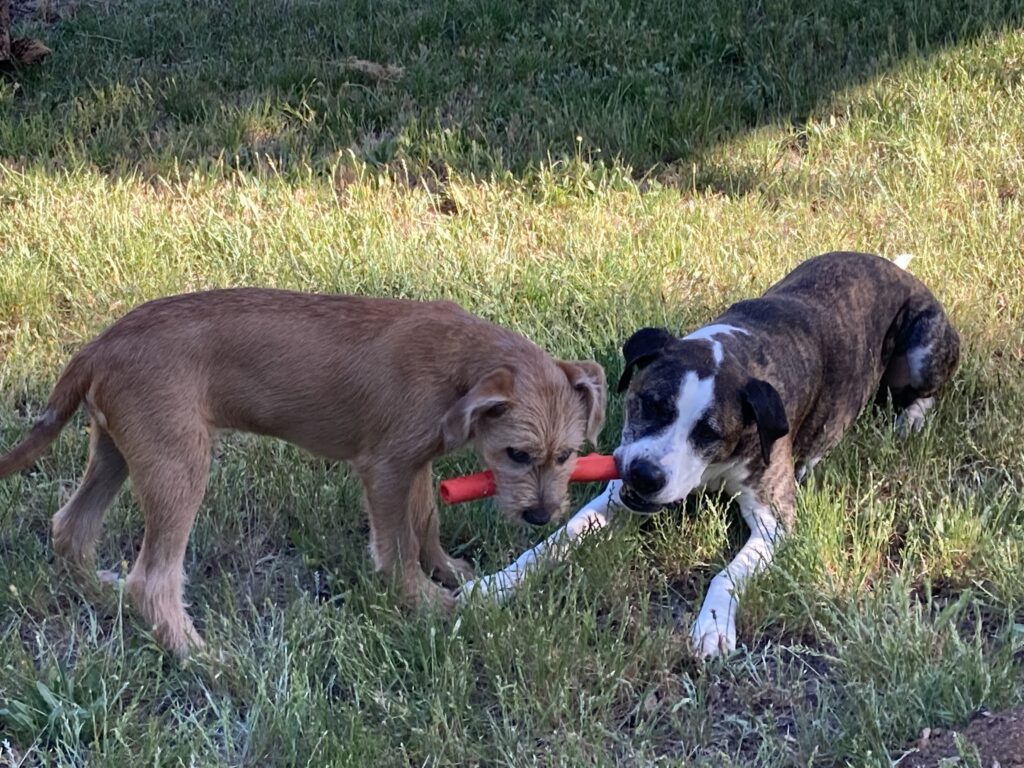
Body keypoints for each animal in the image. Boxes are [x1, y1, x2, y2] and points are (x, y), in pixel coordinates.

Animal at [0, 290, 602, 659]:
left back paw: (105, 596)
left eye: (568, 455)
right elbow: (398, 547)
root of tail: (98, 347)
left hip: (119, 452)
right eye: (517, 454)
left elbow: (426, 524)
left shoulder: (415, 464)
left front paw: (449, 570)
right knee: (152, 579)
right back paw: (202, 658)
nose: (542, 515)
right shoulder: (386, 468)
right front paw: (428, 605)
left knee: (70, 528)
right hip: (179, 466)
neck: (460, 363)